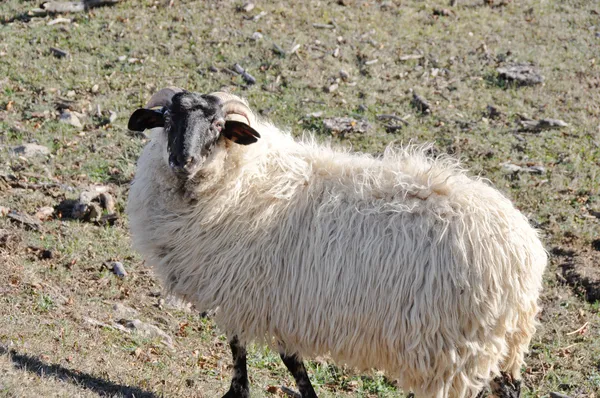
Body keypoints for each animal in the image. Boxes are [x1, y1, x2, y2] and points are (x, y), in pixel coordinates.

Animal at [126, 88, 548, 398]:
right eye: (167, 120)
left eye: (216, 126)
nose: (182, 160)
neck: (243, 178)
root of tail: (524, 256)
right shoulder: (275, 301)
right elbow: (286, 359)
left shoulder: (246, 295)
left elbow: (251, 353)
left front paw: (239, 392)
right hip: (496, 346)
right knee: (508, 387)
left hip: (456, 350)